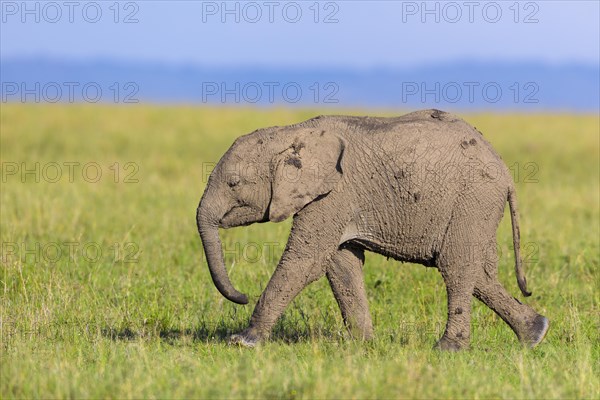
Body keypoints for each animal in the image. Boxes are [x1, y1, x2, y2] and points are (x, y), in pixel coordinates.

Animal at [196, 109, 548, 350]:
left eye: (234, 183)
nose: (241, 296)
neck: (292, 133)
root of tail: (505, 171)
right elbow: (341, 265)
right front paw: (361, 345)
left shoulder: (335, 193)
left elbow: (305, 261)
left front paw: (243, 341)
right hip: (477, 207)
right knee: (481, 274)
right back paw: (535, 334)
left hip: (473, 199)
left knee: (456, 266)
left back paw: (448, 349)